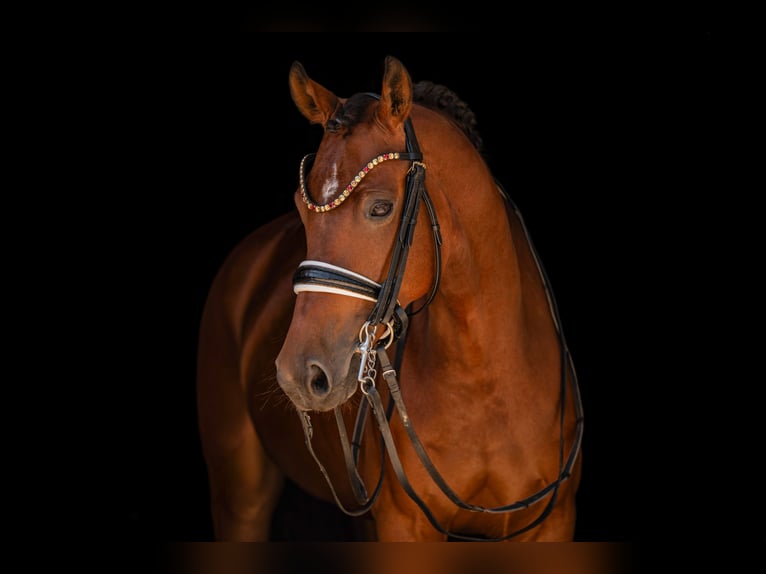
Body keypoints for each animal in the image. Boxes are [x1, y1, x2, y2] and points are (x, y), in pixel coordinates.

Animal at [196, 55, 584, 542]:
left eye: (380, 208)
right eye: (301, 209)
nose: (299, 373)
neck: (486, 380)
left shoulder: (553, 523)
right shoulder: (406, 525)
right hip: (240, 498)